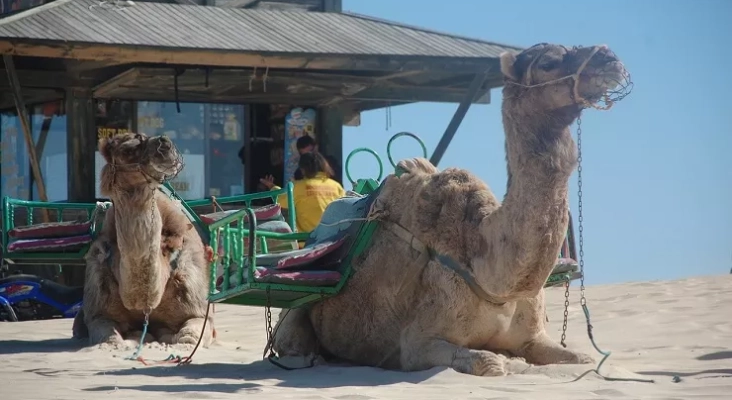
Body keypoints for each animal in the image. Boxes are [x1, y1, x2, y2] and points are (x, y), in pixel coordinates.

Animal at [72, 132, 214, 346]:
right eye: (127, 150)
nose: (165, 144)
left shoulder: (197, 308)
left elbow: (188, 339)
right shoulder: (98, 309)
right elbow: (109, 339)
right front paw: (134, 336)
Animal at [274, 42, 628, 376]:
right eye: (548, 63)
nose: (609, 58)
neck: (490, 275)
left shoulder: (535, 338)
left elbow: (582, 358)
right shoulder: (417, 343)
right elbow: (490, 362)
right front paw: (508, 361)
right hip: (293, 318)